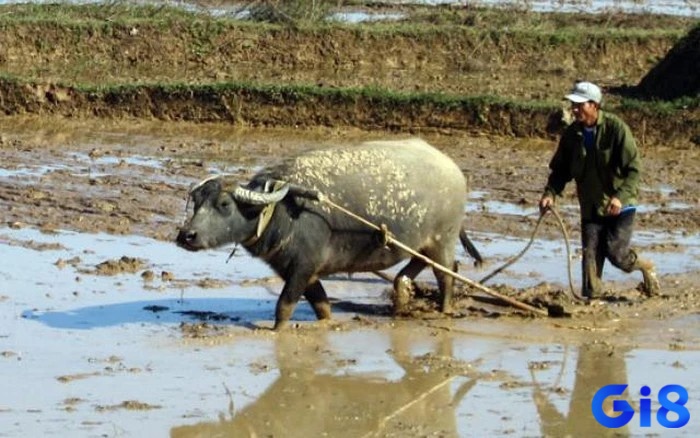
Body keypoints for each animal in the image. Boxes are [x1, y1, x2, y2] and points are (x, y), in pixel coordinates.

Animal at [176, 139, 482, 330]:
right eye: (197, 202)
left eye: (224, 205)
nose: (186, 236)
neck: (281, 211)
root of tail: (453, 169)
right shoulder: (298, 270)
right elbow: (321, 304)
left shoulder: (302, 266)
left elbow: (284, 305)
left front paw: (277, 332)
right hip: (421, 244)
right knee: (412, 270)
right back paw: (402, 297)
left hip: (443, 240)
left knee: (447, 274)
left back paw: (444, 311)